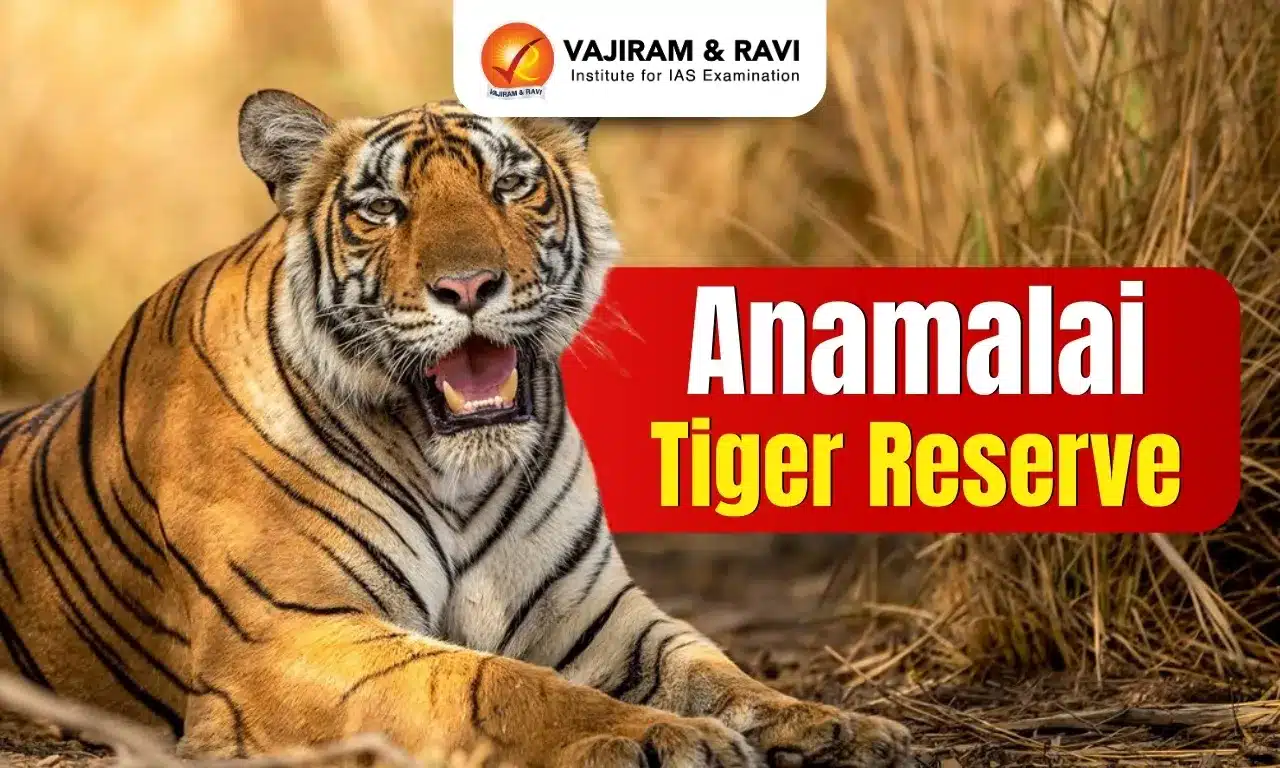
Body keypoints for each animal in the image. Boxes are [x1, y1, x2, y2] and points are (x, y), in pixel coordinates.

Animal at [0, 90, 912, 767]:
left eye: (510, 187)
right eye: (382, 209)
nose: (469, 286)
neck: (454, 471)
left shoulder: (592, 609)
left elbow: (706, 664)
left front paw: (835, 724)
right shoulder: (287, 632)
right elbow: (494, 683)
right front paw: (660, 736)